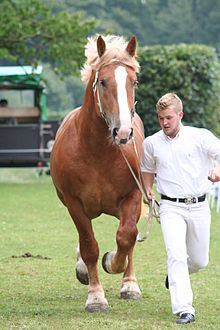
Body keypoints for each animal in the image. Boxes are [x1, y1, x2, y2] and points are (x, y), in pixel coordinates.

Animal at [49, 34, 144, 314]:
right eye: (103, 81)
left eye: (134, 81)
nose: (123, 132)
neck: (97, 153)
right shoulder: (74, 204)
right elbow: (89, 245)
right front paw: (95, 297)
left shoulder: (133, 196)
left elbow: (126, 237)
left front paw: (113, 262)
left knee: (130, 237)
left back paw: (130, 285)